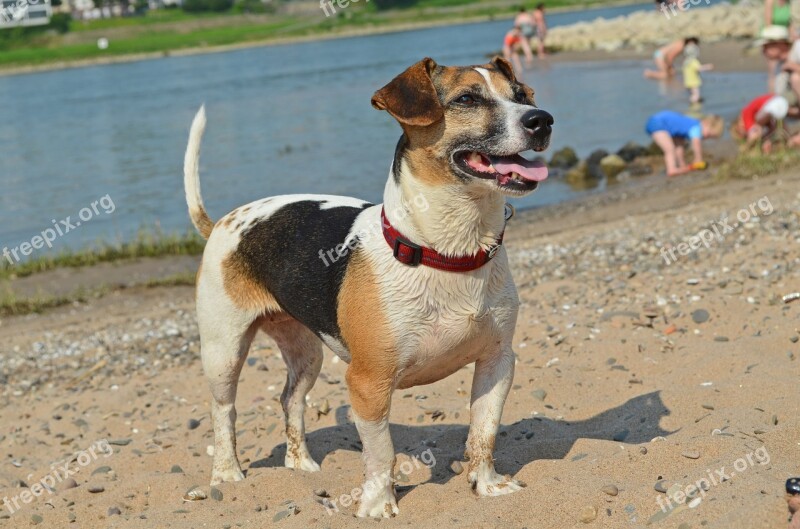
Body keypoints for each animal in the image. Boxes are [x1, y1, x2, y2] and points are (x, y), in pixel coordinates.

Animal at [184, 56, 552, 516]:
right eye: (467, 99)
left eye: (522, 95)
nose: (542, 120)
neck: (449, 253)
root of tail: (223, 222)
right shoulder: (368, 382)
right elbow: (382, 453)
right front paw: (378, 504)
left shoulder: (497, 362)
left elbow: (483, 433)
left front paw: (486, 485)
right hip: (224, 352)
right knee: (224, 413)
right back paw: (227, 473)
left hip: (307, 354)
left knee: (290, 401)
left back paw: (302, 465)